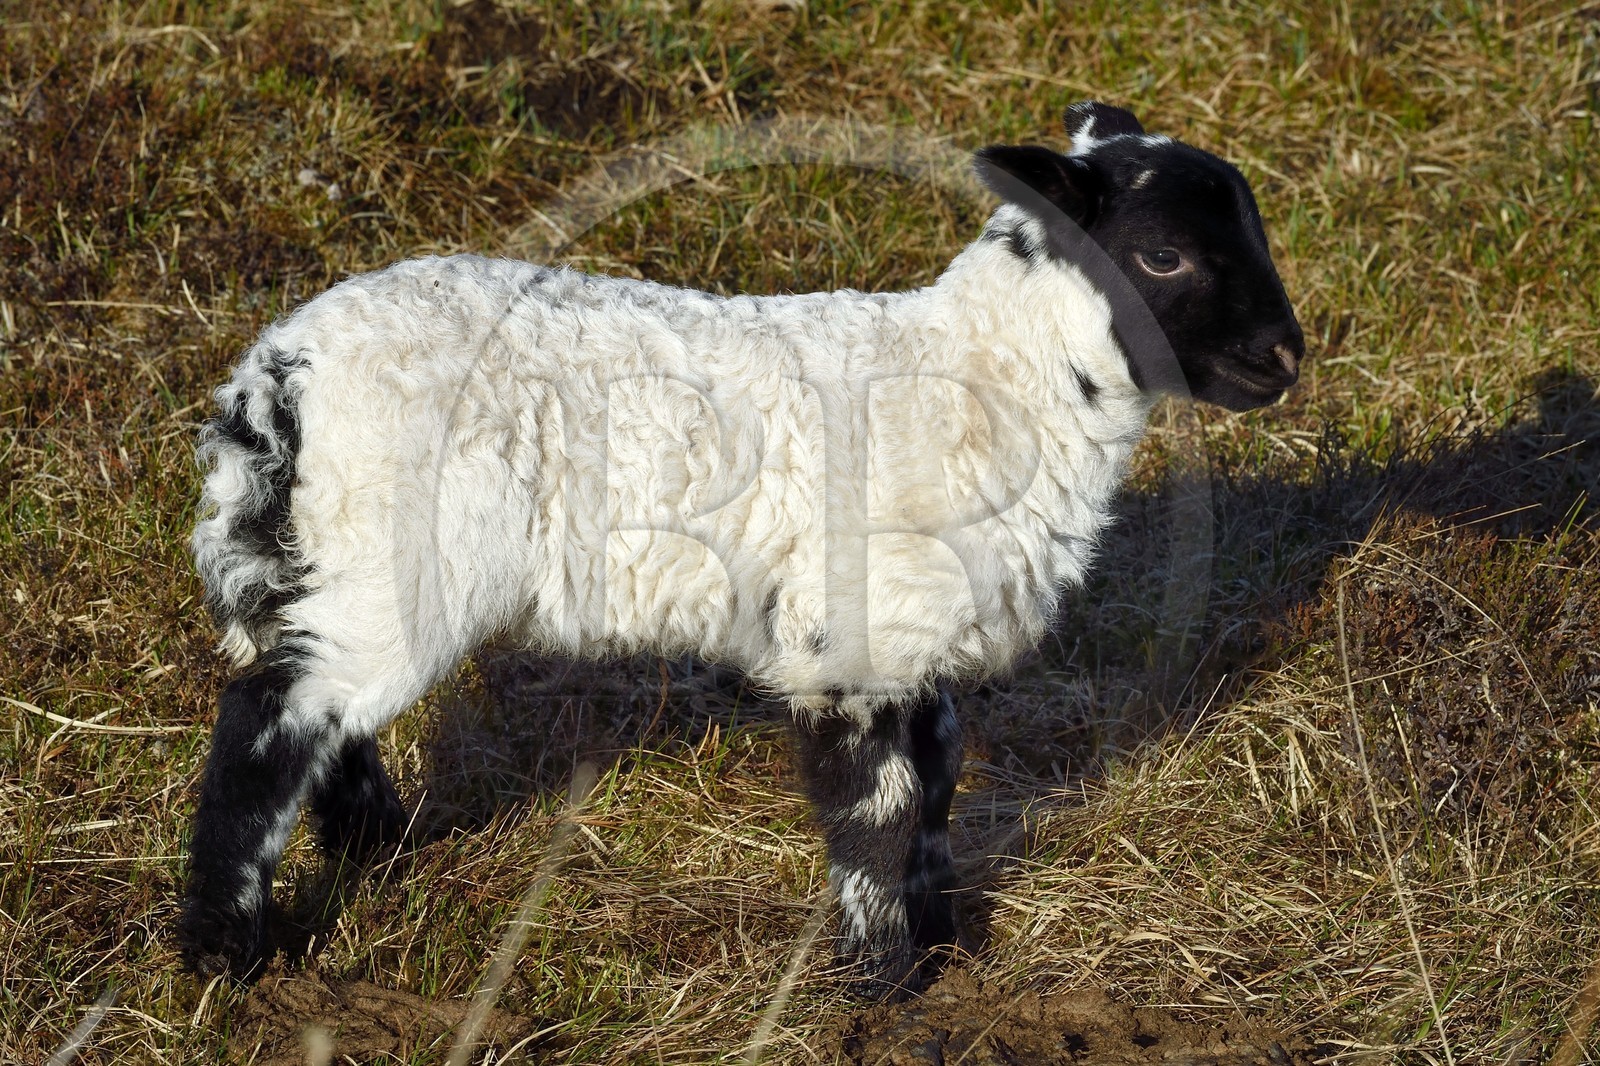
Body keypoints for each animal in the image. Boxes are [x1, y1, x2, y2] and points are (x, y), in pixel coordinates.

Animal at [177, 101, 1304, 993]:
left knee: (318, 705)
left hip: (339, 554)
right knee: (267, 720)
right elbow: (879, 812)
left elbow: (938, 788)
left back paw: (378, 847)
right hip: (401, 548)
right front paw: (882, 983)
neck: (987, 378)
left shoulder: (917, 634)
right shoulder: (850, 641)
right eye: (1162, 255)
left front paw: (939, 946)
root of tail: (278, 380)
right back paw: (226, 953)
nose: (1285, 357)